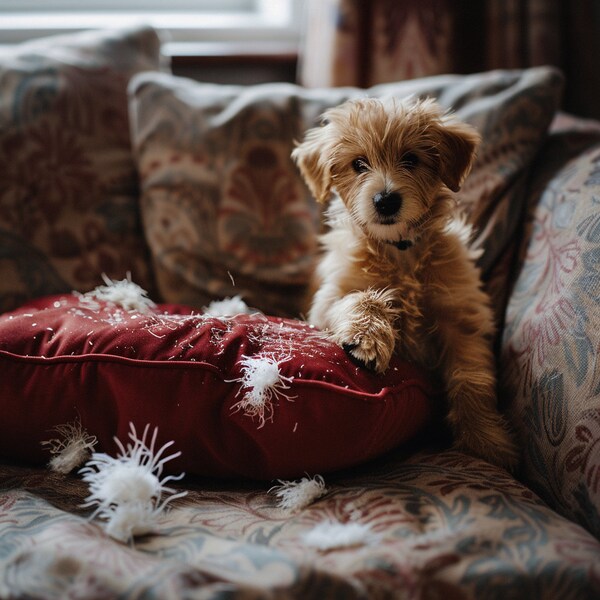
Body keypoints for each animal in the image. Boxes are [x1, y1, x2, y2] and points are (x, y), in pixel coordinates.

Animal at [292, 96, 516, 468]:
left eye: (411, 159)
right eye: (358, 164)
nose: (385, 200)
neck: (399, 251)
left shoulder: (461, 319)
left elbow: (472, 379)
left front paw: (485, 442)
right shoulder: (327, 301)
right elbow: (363, 298)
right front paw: (367, 338)